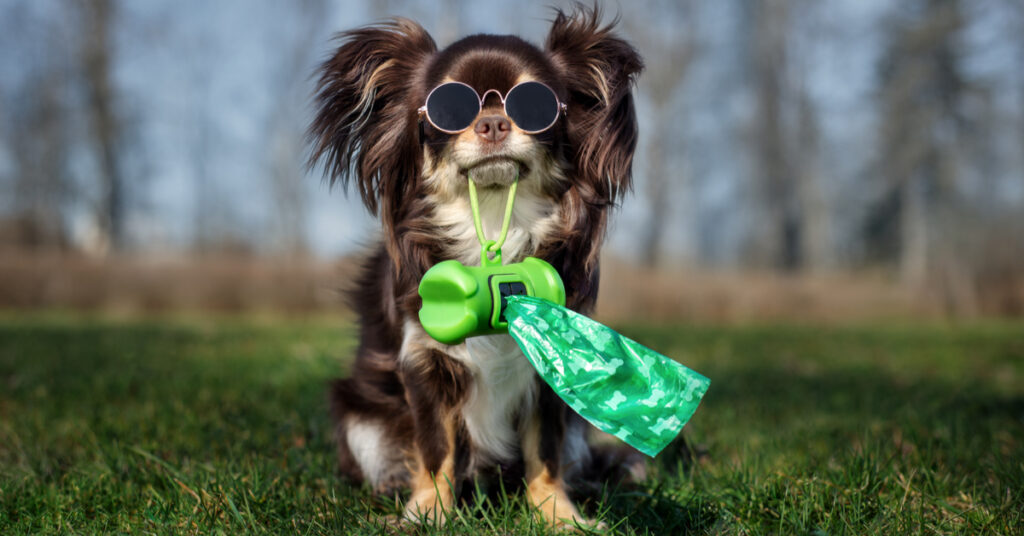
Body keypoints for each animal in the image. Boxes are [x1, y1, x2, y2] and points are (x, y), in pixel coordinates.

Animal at [305, 3, 638, 528]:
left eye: (538, 106)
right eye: (447, 109)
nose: (493, 123)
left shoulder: (552, 368)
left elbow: (545, 451)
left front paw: (558, 516)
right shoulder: (424, 364)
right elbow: (436, 448)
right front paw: (427, 515)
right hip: (361, 415)